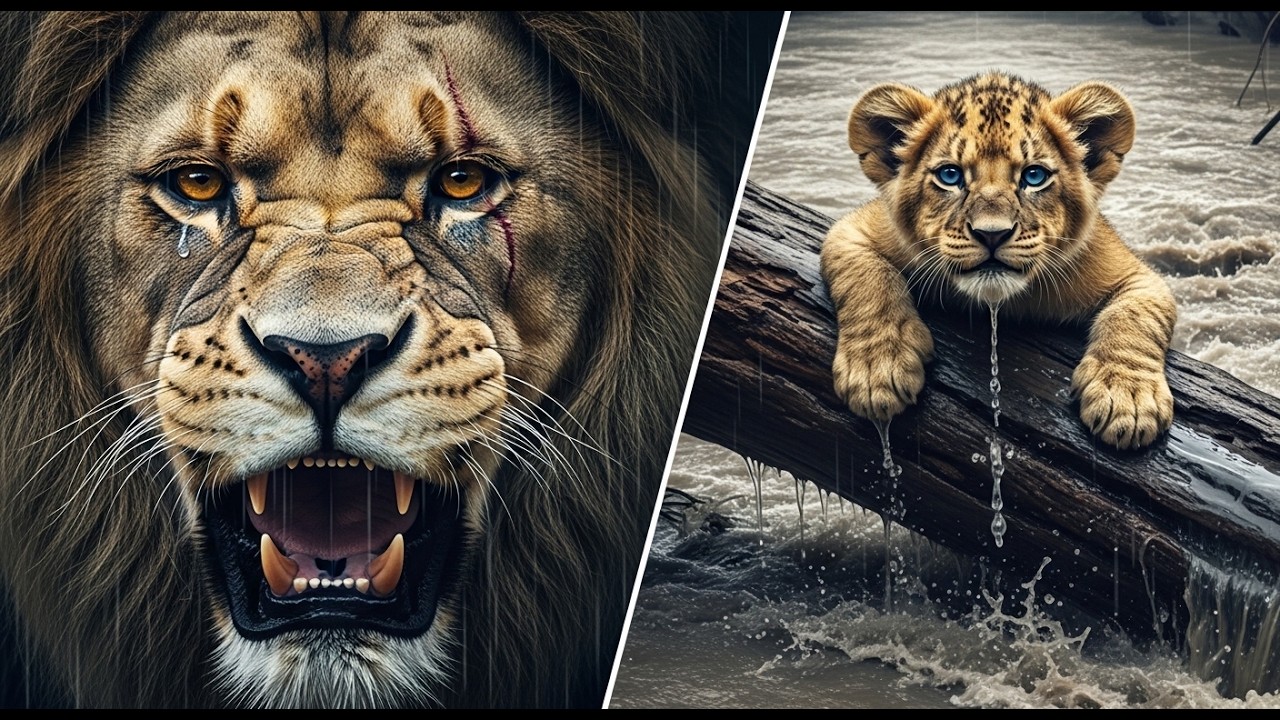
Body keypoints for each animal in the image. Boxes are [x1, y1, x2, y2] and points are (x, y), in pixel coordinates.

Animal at [821, 72, 1176, 450]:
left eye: (1034, 176)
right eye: (950, 175)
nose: (992, 234)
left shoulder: (1139, 276)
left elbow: (1134, 316)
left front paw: (1128, 398)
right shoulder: (850, 231)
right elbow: (869, 280)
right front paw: (877, 369)